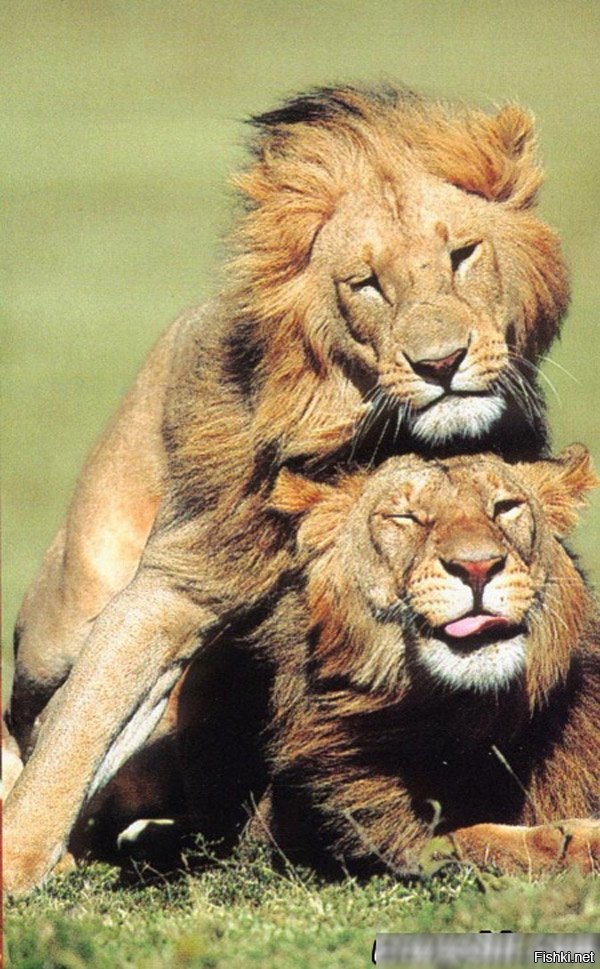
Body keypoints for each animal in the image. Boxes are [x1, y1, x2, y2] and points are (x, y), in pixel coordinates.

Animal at [254, 444, 600, 875]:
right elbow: (479, 840)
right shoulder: (372, 831)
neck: (466, 717)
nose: (477, 567)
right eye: (406, 517)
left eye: (505, 507)